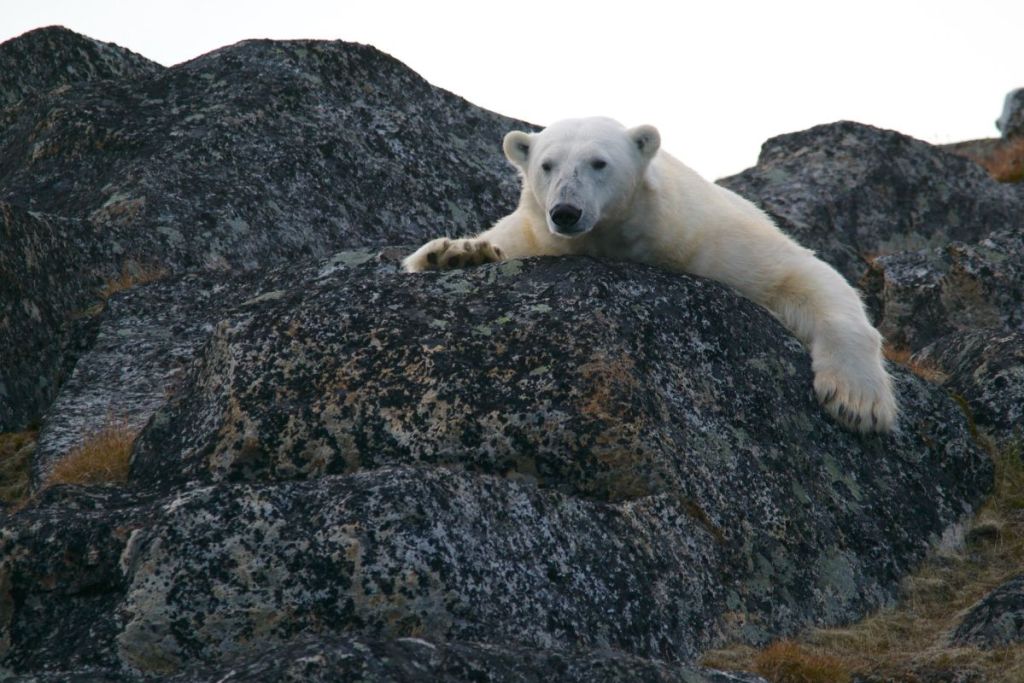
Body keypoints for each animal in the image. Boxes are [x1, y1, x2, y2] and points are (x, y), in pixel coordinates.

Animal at [403, 117, 897, 433]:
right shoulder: (533, 233)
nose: (565, 211)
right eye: (546, 165)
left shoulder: (708, 237)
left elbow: (801, 274)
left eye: (599, 162)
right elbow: (493, 243)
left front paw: (857, 402)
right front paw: (455, 254)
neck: (620, 237)